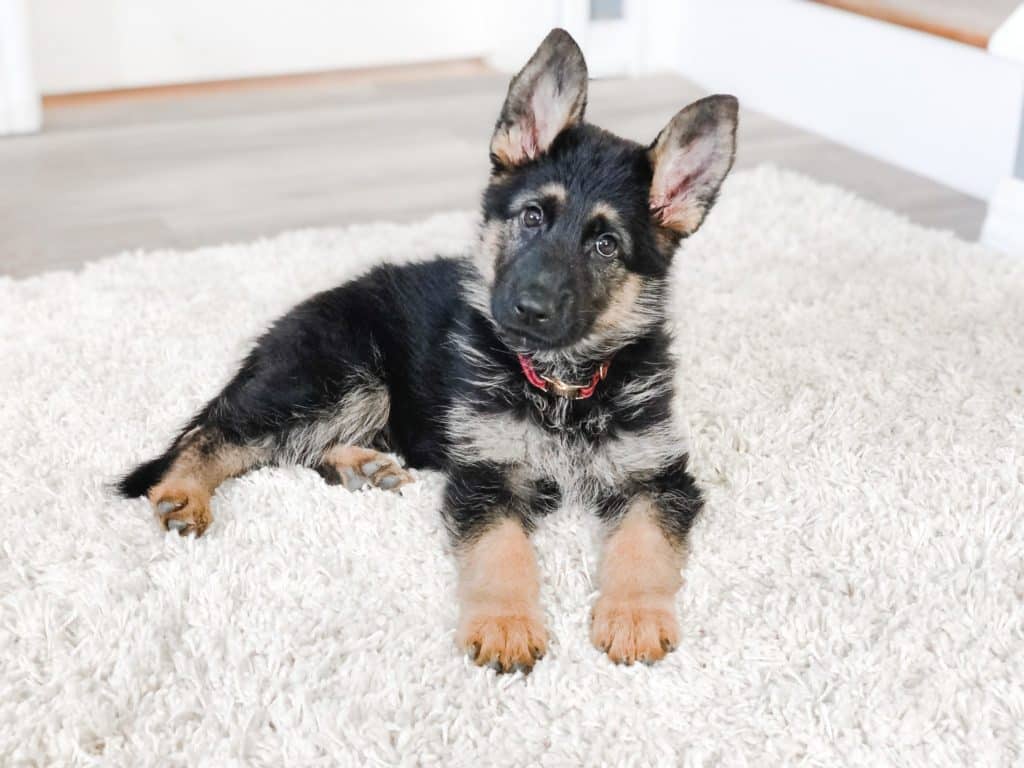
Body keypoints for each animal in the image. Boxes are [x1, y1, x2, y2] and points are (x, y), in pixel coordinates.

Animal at [119, 28, 737, 671]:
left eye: (607, 245)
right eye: (532, 216)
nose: (528, 309)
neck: (561, 385)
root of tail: (283, 327)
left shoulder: (657, 477)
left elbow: (644, 542)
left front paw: (635, 615)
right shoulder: (483, 477)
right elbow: (501, 551)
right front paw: (506, 624)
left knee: (291, 450)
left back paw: (360, 466)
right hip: (342, 376)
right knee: (213, 435)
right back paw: (183, 493)